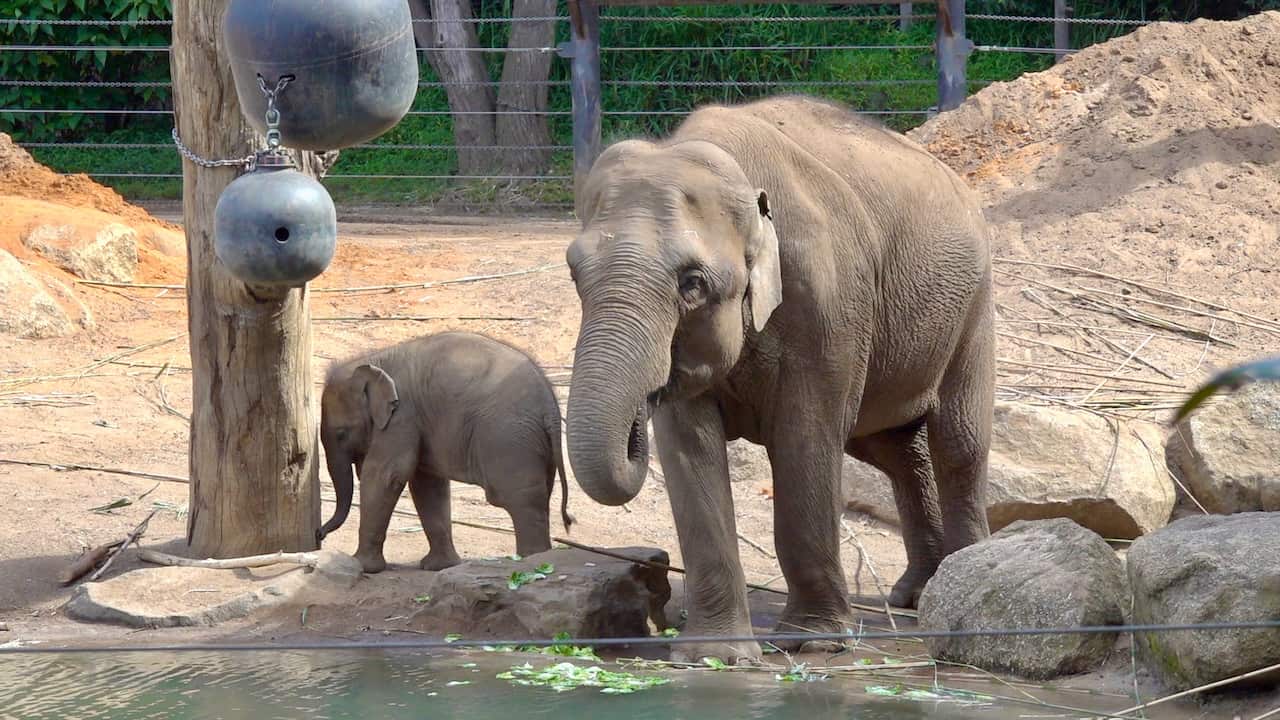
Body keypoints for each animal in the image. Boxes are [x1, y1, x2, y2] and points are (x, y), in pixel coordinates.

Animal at [317, 331, 573, 573]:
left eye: (341, 434)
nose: (320, 533)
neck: (372, 360)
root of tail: (550, 404)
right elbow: (426, 484)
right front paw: (439, 566)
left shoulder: (402, 416)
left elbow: (386, 475)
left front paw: (362, 565)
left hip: (509, 438)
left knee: (520, 499)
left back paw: (531, 562)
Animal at [563, 95, 995, 664]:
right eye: (575, 273)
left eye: (692, 284)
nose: (641, 408)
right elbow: (688, 445)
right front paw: (716, 656)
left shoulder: (827, 301)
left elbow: (805, 437)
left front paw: (810, 641)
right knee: (895, 450)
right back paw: (917, 592)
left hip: (973, 307)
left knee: (957, 441)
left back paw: (964, 581)